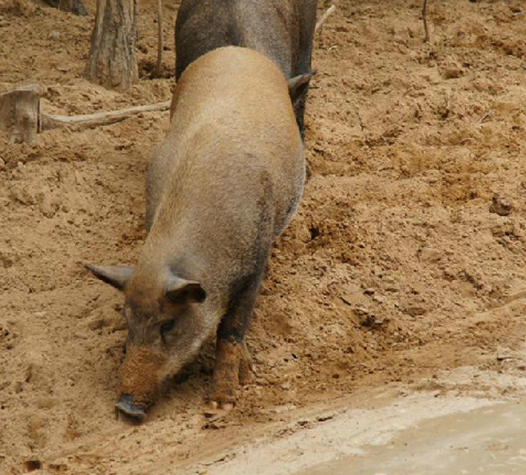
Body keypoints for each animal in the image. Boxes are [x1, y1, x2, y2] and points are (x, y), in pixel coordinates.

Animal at [85, 46, 310, 420]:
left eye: (168, 325)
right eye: (127, 320)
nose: (124, 408)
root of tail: (237, 50)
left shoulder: (255, 263)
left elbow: (231, 330)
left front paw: (223, 403)